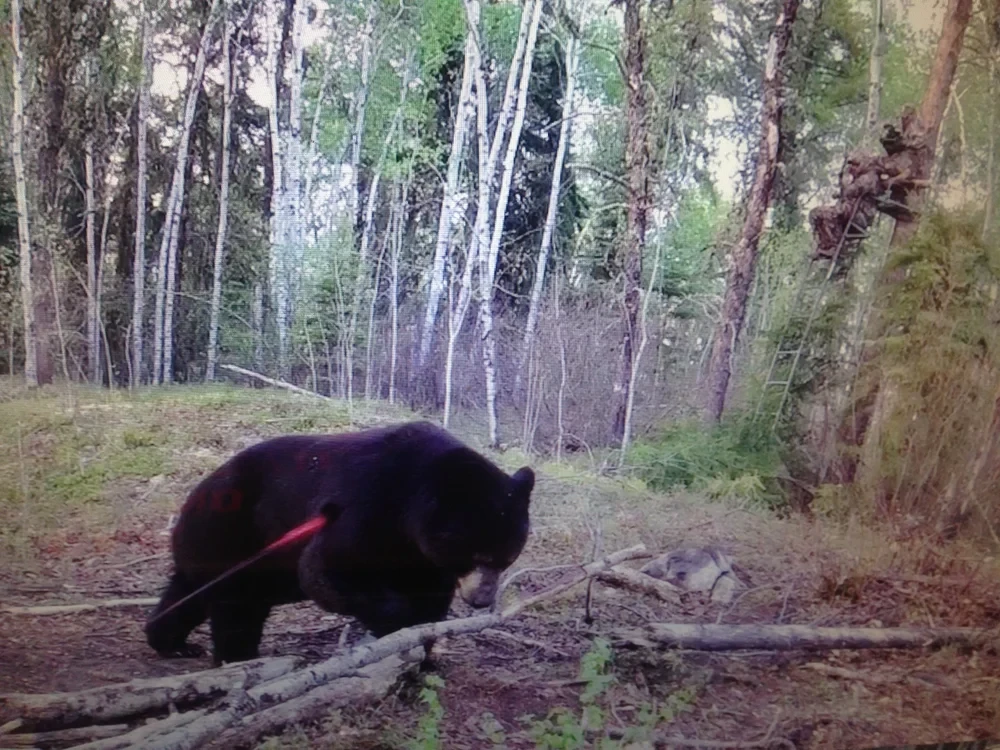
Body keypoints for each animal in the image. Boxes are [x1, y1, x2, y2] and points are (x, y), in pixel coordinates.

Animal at [144, 421, 535, 665]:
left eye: (509, 557)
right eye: (477, 553)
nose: (483, 598)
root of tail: (196, 494)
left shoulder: (422, 555)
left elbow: (430, 596)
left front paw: (423, 652)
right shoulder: (366, 504)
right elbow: (327, 568)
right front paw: (395, 625)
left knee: (190, 593)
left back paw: (170, 642)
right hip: (236, 533)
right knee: (237, 603)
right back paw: (237, 659)